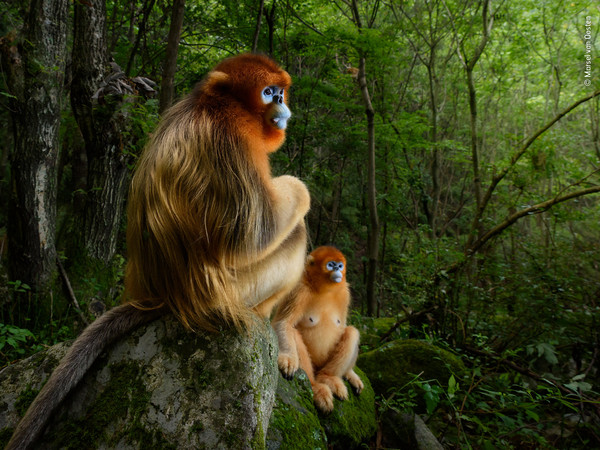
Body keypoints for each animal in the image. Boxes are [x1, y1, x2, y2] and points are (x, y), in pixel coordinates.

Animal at [7, 53, 310, 450]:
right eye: (268, 92)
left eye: (280, 91)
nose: (281, 103)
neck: (211, 105)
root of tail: (162, 297)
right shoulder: (231, 138)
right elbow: (253, 234)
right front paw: (298, 188)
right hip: (235, 290)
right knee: (294, 232)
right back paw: (261, 316)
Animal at [274, 246, 364, 412]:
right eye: (330, 265)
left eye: (340, 265)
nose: (337, 269)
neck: (324, 290)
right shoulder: (299, 290)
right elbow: (283, 323)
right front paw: (288, 359)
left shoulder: (345, 293)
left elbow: (343, 326)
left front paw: (350, 373)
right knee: (293, 333)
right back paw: (316, 387)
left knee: (351, 332)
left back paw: (329, 378)